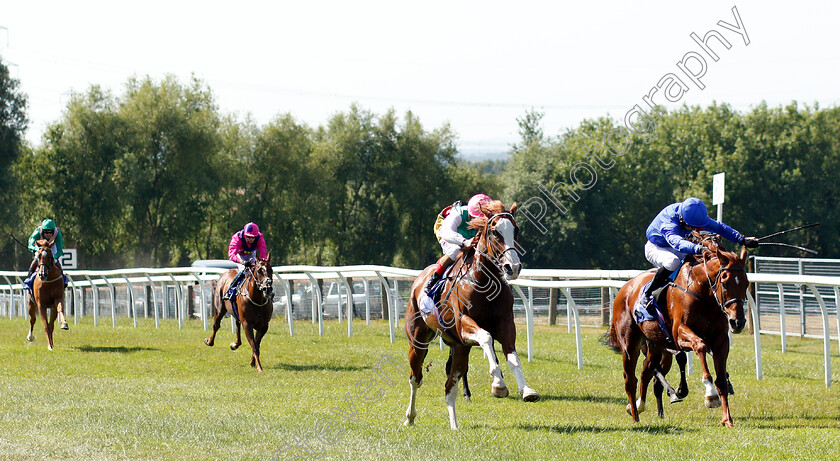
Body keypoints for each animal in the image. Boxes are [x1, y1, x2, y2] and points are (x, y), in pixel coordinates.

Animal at [402, 199, 540, 430]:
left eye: (516, 230)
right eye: (495, 232)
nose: (513, 267)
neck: (484, 283)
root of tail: (418, 280)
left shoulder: (505, 325)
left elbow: (513, 358)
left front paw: (527, 390)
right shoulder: (464, 323)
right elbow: (486, 337)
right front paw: (498, 384)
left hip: (460, 348)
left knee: (450, 387)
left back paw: (454, 425)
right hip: (418, 340)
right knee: (415, 378)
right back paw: (410, 417)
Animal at [604, 239, 748, 426]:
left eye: (746, 283)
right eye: (724, 282)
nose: (738, 322)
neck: (702, 292)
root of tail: (625, 288)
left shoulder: (720, 341)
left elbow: (722, 380)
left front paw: (727, 419)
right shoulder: (679, 334)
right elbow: (700, 345)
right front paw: (710, 394)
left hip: (656, 345)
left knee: (646, 372)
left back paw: (638, 406)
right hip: (630, 344)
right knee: (630, 380)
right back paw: (635, 417)